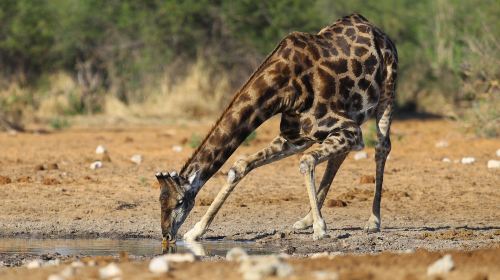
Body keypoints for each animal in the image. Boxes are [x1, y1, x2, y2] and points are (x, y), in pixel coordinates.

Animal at [156, 12, 398, 242]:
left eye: (180, 201)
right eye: (160, 200)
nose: (167, 234)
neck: (282, 89)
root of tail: (377, 30)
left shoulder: (348, 128)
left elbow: (306, 161)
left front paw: (320, 228)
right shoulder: (296, 138)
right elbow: (240, 166)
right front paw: (195, 232)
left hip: (387, 89)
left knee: (382, 146)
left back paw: (373, 221)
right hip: (350, 117)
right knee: (340, 156)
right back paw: (306, 220)